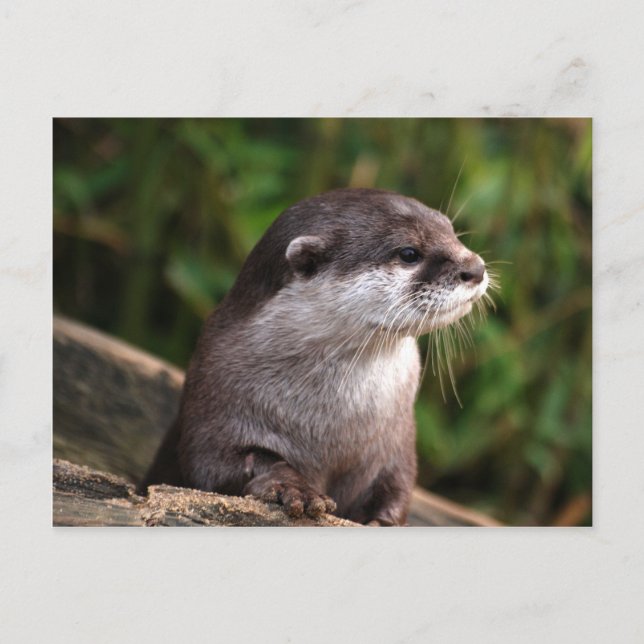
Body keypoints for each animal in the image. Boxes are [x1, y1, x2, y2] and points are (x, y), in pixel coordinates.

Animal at [140, 188, 489, 525]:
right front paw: (293, 487)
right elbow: (218, 464)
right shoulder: (213, 402)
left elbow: (398, 485)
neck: (332, 426)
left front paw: (383, 522)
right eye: (409, 253)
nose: (475, 268)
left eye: (451, 231)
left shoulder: (398, 441)